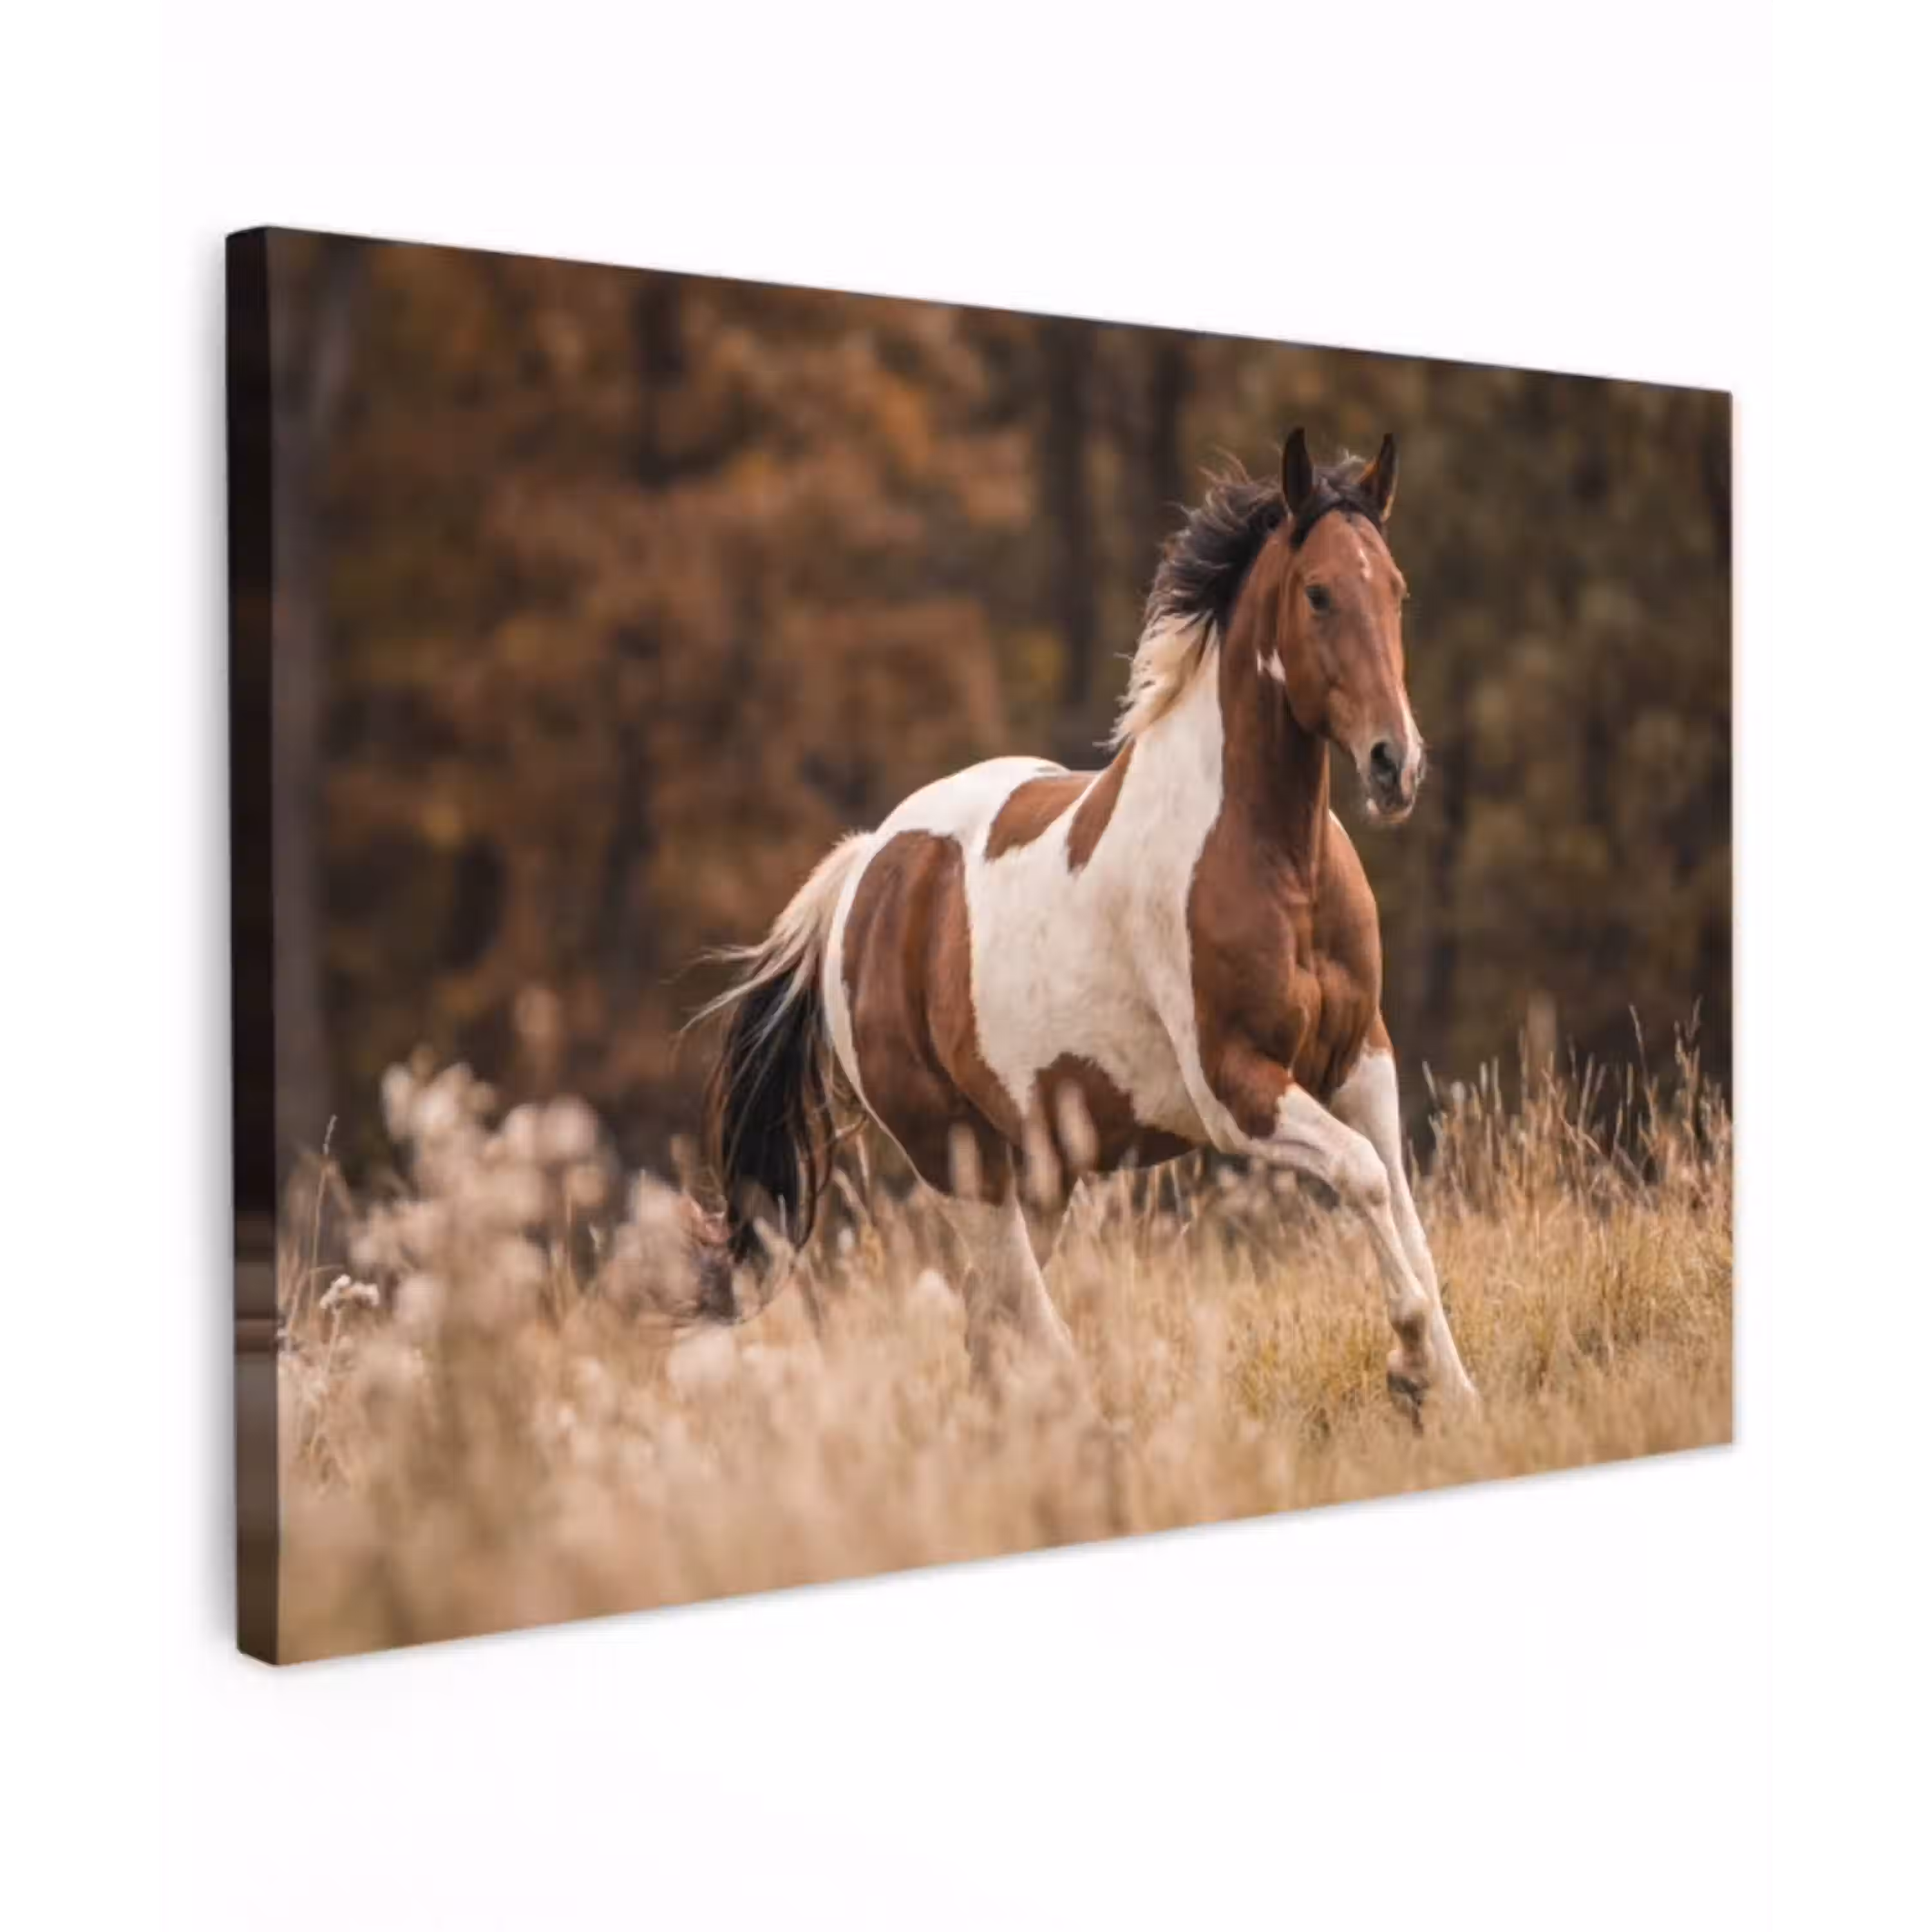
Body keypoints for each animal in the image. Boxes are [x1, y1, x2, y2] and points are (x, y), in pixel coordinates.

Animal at [685, 428, 1479, 1418]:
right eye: (1320, 593)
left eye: (1397, 590)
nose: (1393, 764)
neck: (1275, 863)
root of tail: (864, 871)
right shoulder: (1238, 1091)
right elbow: (1366, 1179)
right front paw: (1408, 1367)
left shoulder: (1360, 1061)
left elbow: (1406, 1212)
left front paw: (1454, 1393)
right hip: (962, 1164)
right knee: (1021, 1324)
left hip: (1041, 1172)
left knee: (990, 1332)